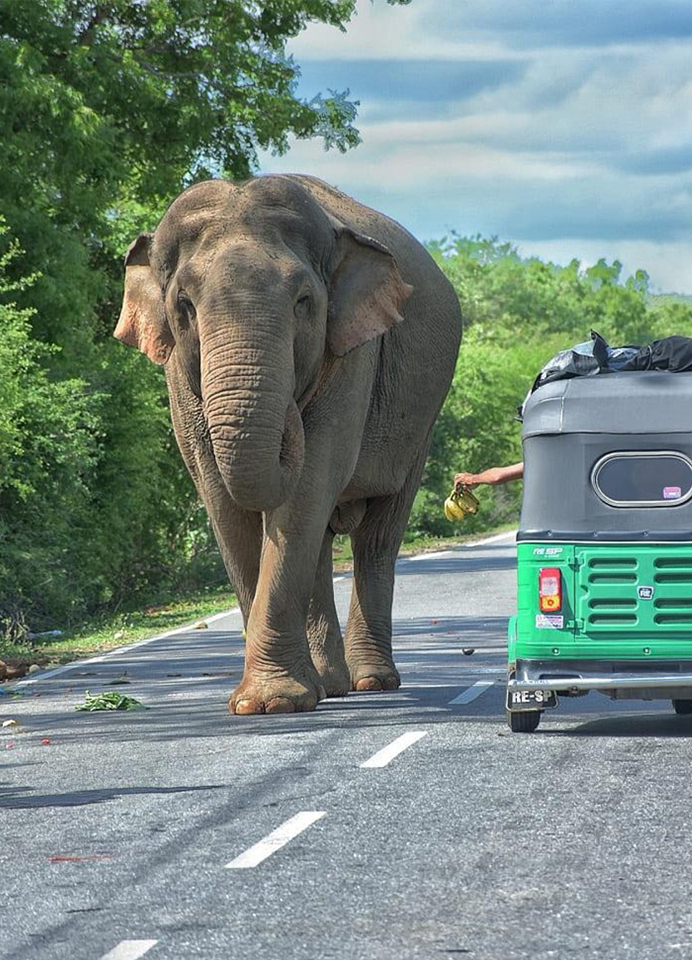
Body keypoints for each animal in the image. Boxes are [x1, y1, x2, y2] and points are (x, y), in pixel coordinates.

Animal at [114, 174, 462, 714]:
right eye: (184, 305)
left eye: (303, 301)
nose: (289, 415)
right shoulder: (177, 375)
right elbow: (222, 497)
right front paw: (267, 702)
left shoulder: (354, 353)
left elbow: (310, 482)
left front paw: (273, 704)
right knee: (320, 538)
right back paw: (331, 686)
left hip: (422, 418)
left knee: (378, 536)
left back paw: (371, 682)